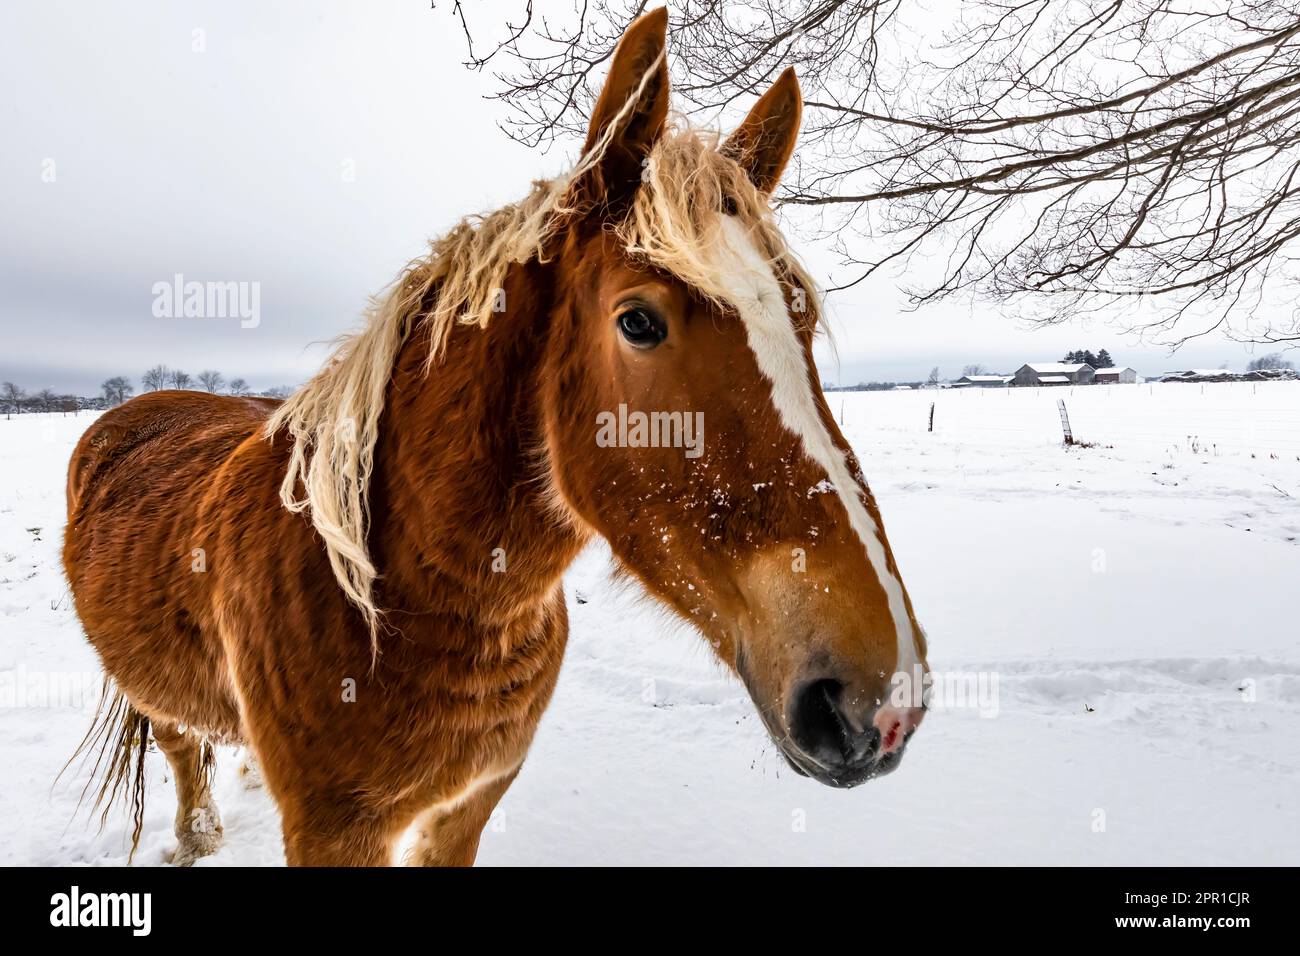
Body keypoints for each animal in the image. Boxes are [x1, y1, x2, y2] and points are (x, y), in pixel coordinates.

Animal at [61, 7, 928, 866]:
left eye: (801, 321)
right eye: (638, 322)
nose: (881, 698)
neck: (400, 596)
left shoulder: (472, 802)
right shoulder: (331, 829)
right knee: (177, 742)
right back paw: (196, 835)